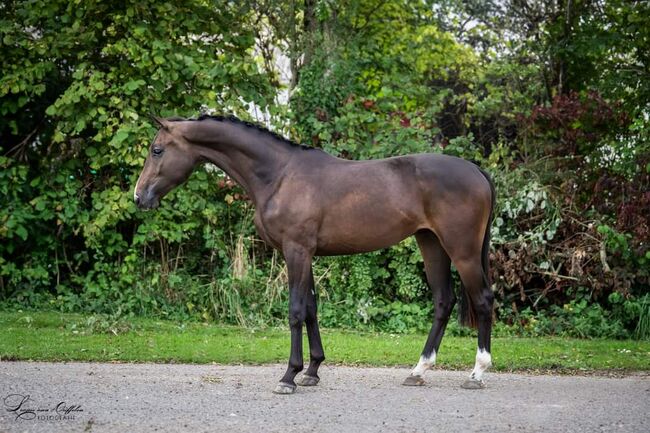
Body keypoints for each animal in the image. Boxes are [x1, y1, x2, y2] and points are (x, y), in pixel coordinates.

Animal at [134, 114, 494, 392]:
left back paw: (477, 372)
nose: (139, 197)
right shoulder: (303, 254)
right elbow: (310, 309)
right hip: (430, 243)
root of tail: (477, 171)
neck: (279, 175)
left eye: (157, 150)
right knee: (443, 301)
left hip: (462, 250)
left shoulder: (297, 251)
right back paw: (418, 371)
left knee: (483, 300)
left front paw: (288, 376)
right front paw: (312, 371)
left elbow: (295, 310)